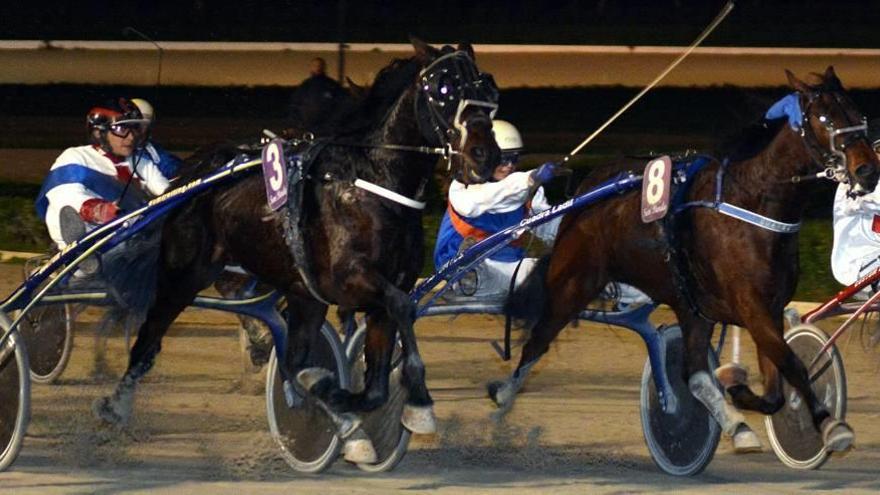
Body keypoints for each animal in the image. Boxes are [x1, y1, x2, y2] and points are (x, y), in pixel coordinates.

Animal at [94, 39, 502, 464]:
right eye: (443, 89)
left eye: (489, 90)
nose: (484, 155)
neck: (372, 183)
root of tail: (195, 173)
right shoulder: (351, 281)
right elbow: (402, 309)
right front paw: (418, 403)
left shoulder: (377, 295)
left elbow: (374, 386)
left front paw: (354, 410)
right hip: (183, 275)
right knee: (149, 339)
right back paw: (115, 408)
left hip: (302, 295)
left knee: (294, 361)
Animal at [492, 68, 876, 460]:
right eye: (824, 119)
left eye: (858, 113)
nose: (867, 170)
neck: (752, 204)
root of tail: (583, 194)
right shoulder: (751, 306)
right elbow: (793, 365)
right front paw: (832, 427)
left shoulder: (767, 308)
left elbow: (774, 389)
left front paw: (738, 391)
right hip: (572, 283)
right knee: (537, 340)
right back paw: (504, 401)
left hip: (691, 308)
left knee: (693, 373)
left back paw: (737, 427)